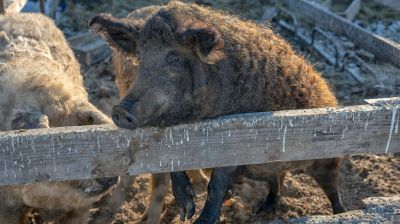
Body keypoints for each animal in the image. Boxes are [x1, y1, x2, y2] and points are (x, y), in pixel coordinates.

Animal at [89, 0, 346, 223]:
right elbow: (173, 162)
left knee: (332, 188)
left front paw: (199, 220)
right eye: (140, 57)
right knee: (278, 179)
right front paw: (186, 212)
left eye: (173, 59)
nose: (120, 110)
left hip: (329, 159)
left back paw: (341, 214)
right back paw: (264, 210)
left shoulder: (235, 138)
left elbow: (217, 184)